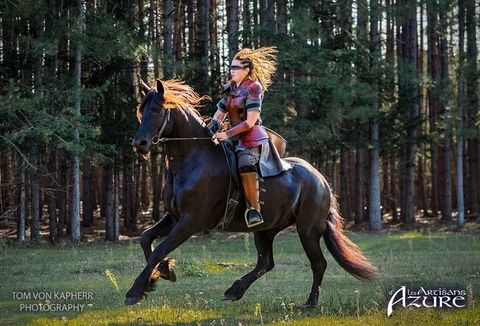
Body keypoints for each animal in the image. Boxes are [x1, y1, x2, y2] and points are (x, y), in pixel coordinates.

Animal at [126, 79, 378, 308]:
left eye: (157, 110)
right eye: (141, 111)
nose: (139, 143)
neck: (192, 159)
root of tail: (321, 179)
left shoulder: (191, 220)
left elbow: (159, 249)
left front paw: (136, 291)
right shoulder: (174, 217)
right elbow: (146, 238)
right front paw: (161, 274)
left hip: (307, 230)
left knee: (318, 264)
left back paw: (310, 302)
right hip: (266, 229)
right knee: (266, 262)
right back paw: (234, 290)